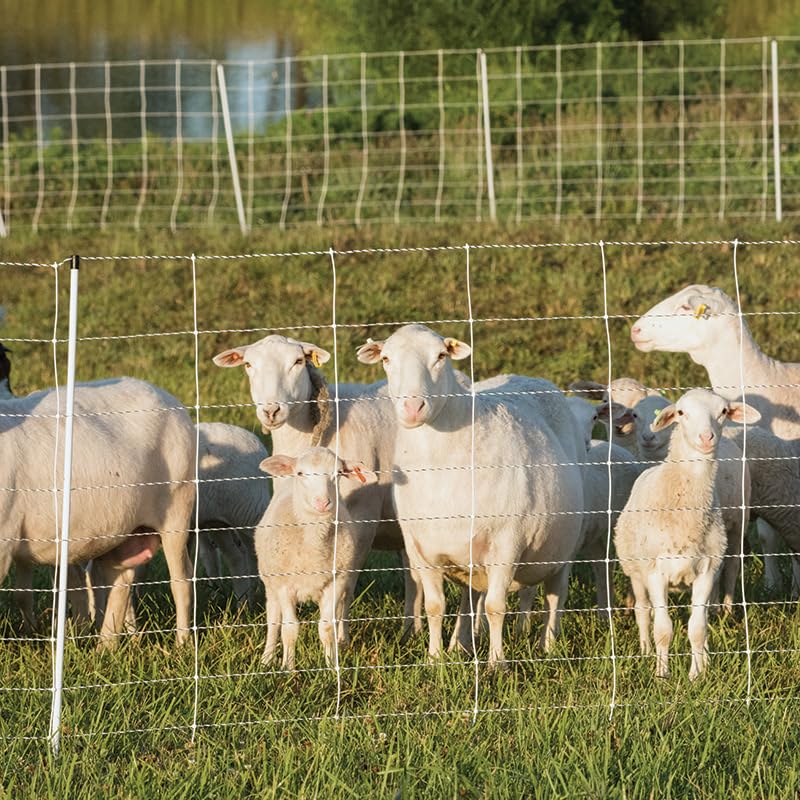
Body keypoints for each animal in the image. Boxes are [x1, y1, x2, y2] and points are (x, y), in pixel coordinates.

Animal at [0, 377, 195, 647]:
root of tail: (162, 393)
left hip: (177, 510)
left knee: (181, 581)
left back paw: (182, 644)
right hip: (119, 526)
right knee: (121, 579)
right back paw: (105, 646)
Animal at [213, 334, 422, 639]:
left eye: (298, 361)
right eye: (249, 365)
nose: (271, 410)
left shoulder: (360, 522)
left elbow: (346, 586)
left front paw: (341, 638)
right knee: (413, 572)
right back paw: (411, 631)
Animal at [257, 447, 377, 670]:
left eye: (338, 473)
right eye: (300, 473)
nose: (323, 503)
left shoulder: (335, 582)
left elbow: (326, 628)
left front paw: (330, 666)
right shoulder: (284, 587)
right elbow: (289, 629)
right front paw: (289, 668)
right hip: (271, 583)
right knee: (273, 619)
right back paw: (266, 659)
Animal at [357, 324, 585, 669]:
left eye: (440, 356)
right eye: (386, 359)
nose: (412, 408)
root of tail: (529, 377)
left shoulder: (507, 542)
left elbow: (496, 606)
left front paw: (497, 664)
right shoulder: (420, 549)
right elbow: (435, 606)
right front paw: (435, 660)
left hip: (562, 547)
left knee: (554, 596)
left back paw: (548, 646)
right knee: (471, 599)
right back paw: (461, 645)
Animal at [615, 389, 760, 680]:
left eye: (723, 412)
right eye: (681, 413)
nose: (706, 438)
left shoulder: (706, 572)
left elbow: (697, 628)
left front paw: (697, 675)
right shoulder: (656, 573)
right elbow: (663, 629)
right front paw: (662, 675)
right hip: (636, 571)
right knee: (643, 610)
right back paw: (645, 650)